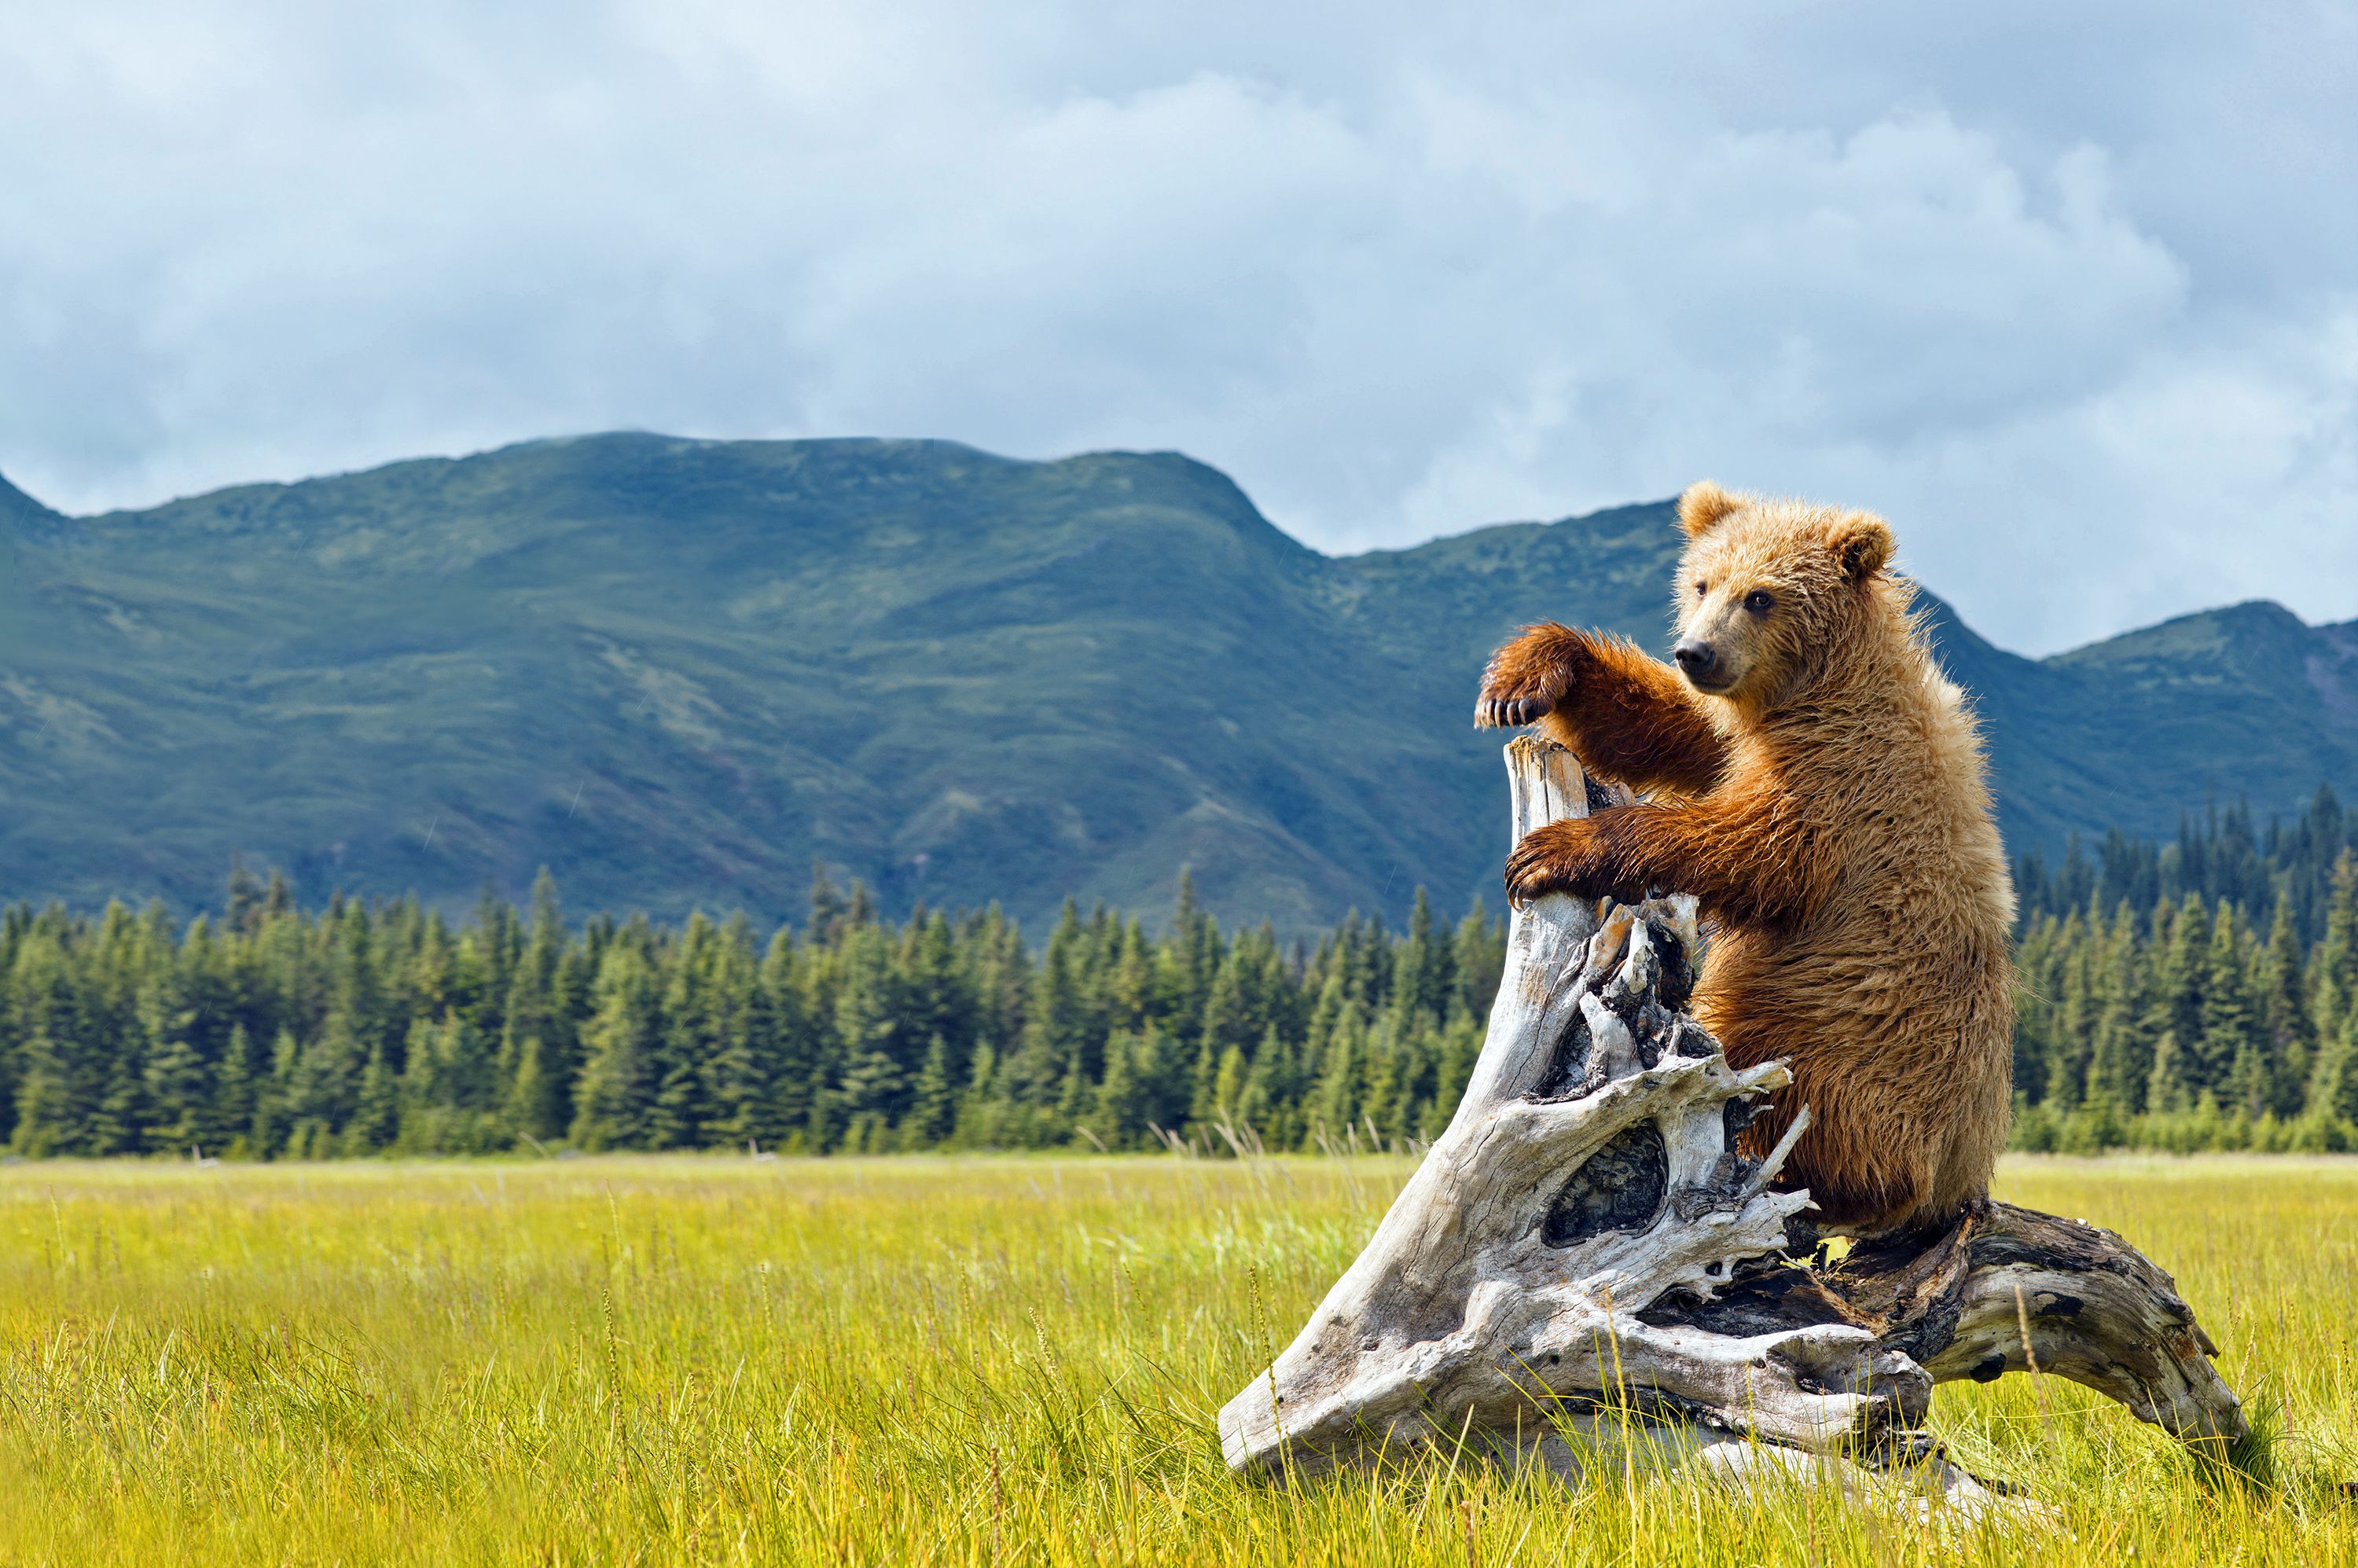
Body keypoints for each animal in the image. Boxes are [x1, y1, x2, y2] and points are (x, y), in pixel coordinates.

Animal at [1471, 481, 2009, 1236]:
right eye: (1702, 581)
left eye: (1760, 596)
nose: (1695, 651)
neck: (1812, 689)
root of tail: (1962, 1172)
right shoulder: (1739, 730)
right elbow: (1670, 728)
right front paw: (1525, 678)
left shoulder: (1843, 776)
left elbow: (1753, 849)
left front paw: (1551, 851)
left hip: (1850, 1035)